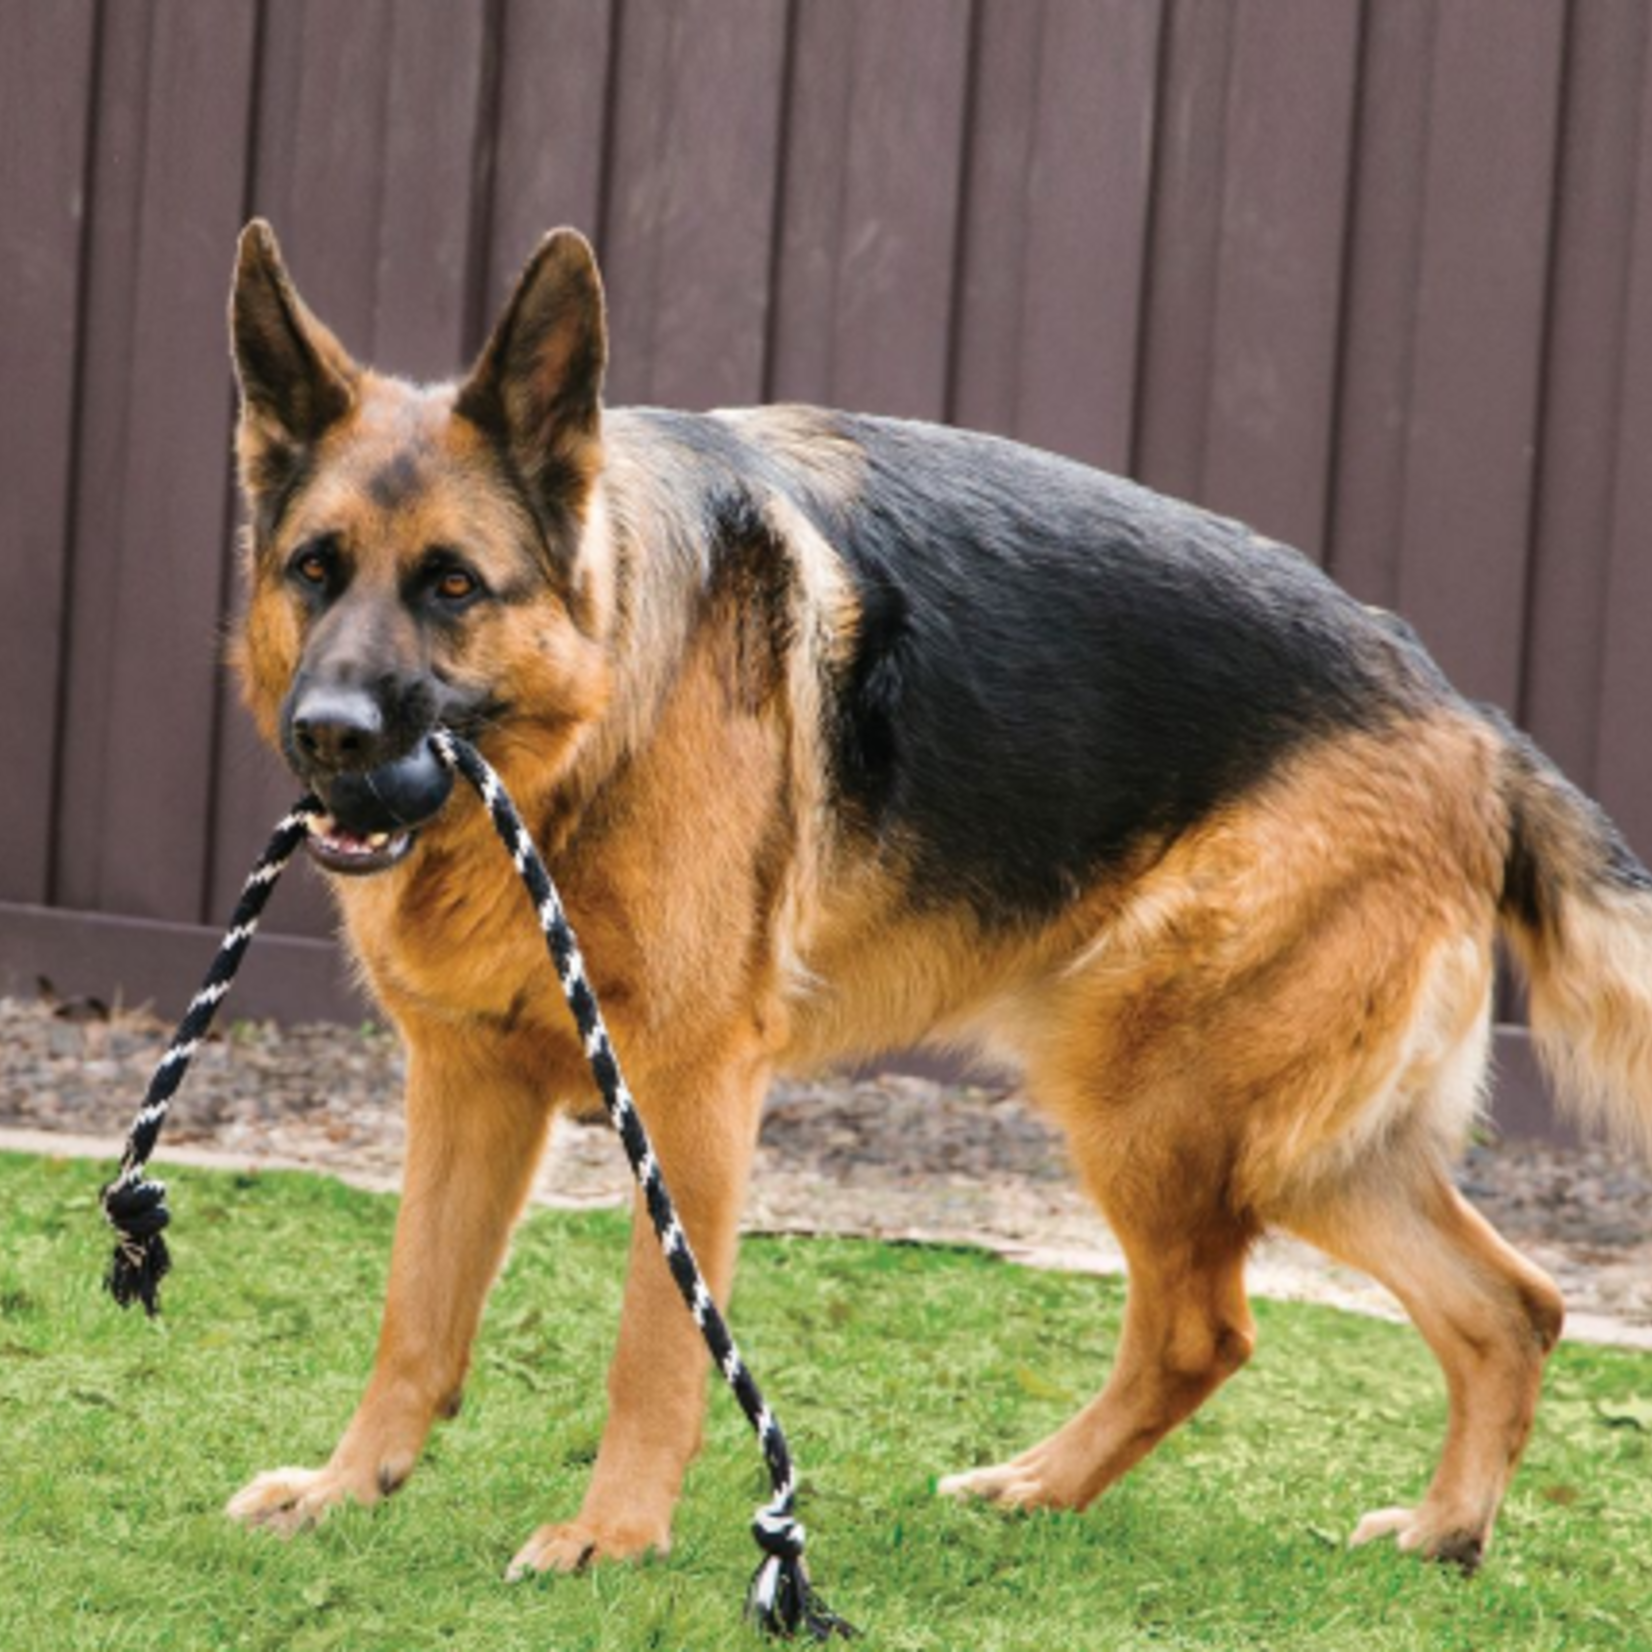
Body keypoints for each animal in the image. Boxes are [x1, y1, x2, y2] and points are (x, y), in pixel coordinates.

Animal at [223, 219, 1652, 1572]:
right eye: (314, 569)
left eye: (453, 584)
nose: (329, 737)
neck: (596, 715)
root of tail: (1471, 722)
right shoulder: (464, 1079)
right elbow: (414, 1313)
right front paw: (347, 1487)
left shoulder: (686, 1088)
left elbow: (658, 1340)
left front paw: (613, 1533)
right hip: (1297, 1143)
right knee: (1507, 1306)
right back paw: (1429, 1527)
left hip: (1157, 1094)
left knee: (1206, 1325)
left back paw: (1069, 1485)